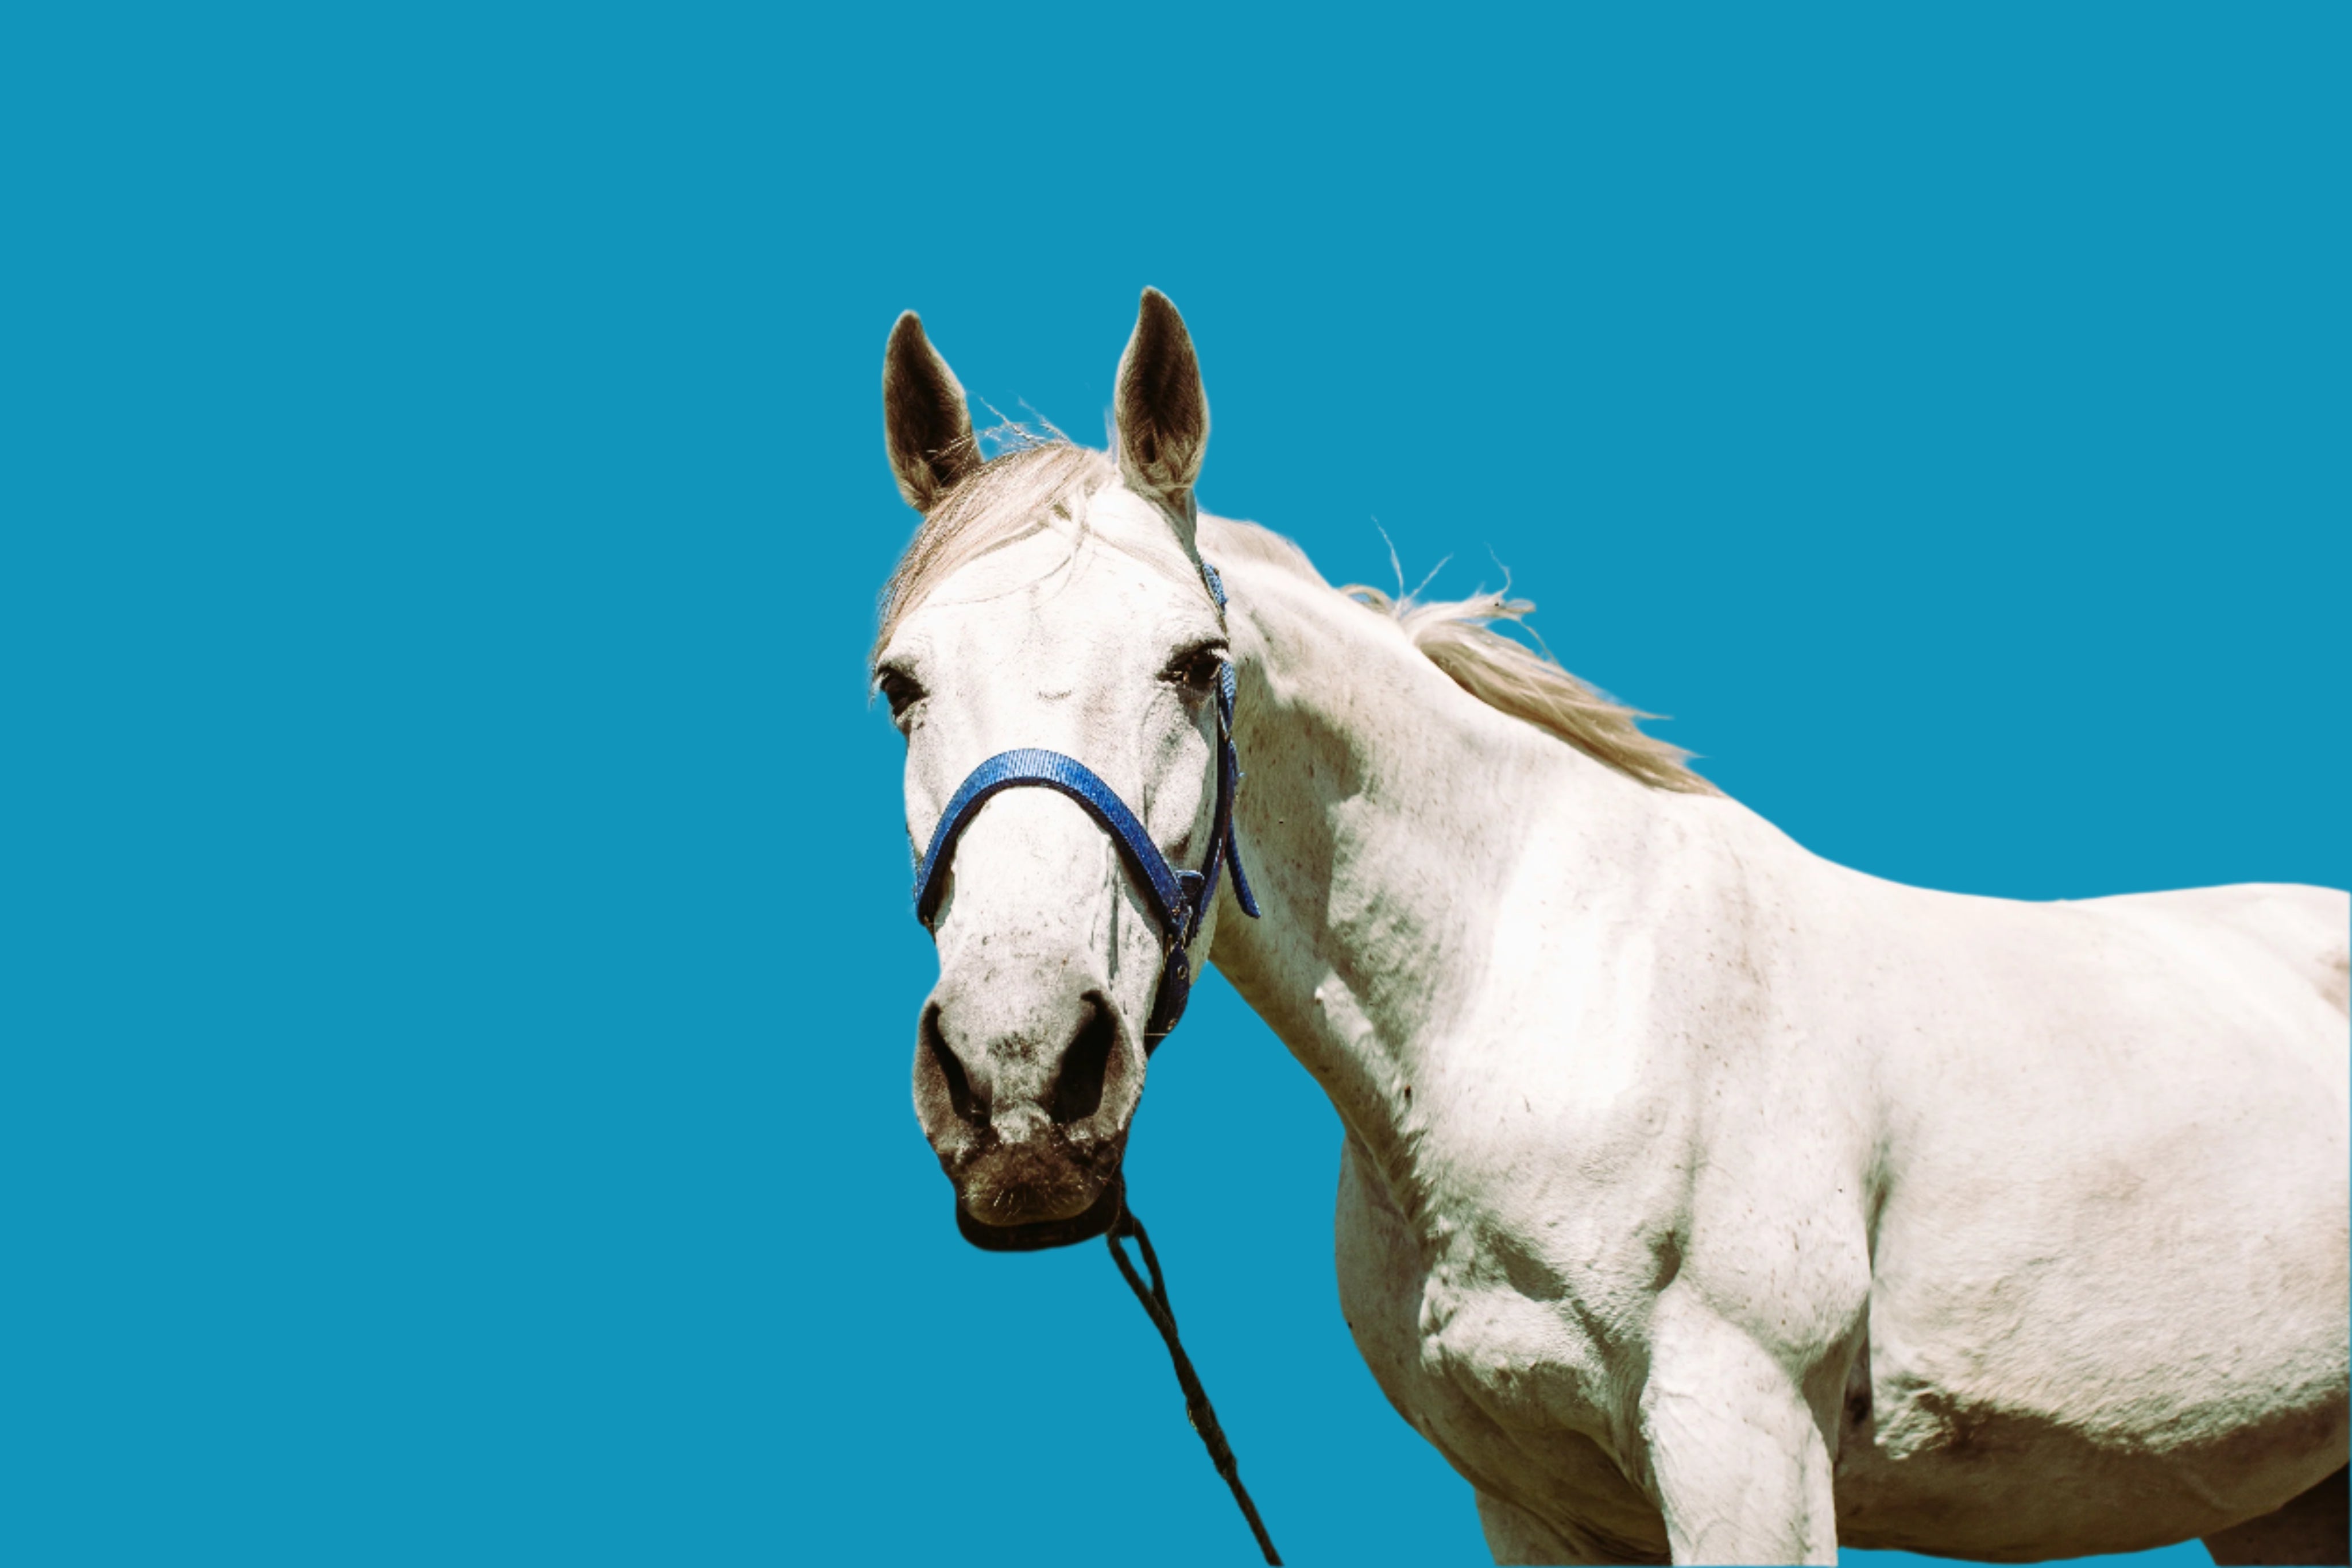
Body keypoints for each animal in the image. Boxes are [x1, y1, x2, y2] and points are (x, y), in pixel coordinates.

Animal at [868, 289, 2350, 1565]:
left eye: (1196, 663)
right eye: (899, 685)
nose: (1017, 1074)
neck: (1535, 1003)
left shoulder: (1742, 1446)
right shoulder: (1536, 1500)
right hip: (2280, 1494)